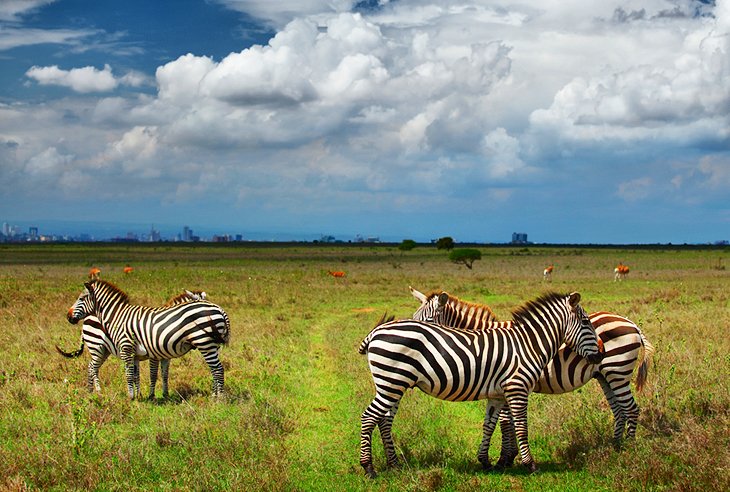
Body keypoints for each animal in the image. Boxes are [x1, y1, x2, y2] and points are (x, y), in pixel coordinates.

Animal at [67, 280, 230, 400]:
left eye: (81, 298)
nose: (68, 316)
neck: (117, 316)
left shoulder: (129, 348)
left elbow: (134, 374)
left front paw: (134, 397)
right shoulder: (151, 353)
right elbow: (148, 374)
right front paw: (146, 396)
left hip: (205, 343)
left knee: (217, 369)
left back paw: (219, 398)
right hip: (99, 348)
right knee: (92, 367)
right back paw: (92, 392)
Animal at [358, 292, 604, 476]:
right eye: (586, 322)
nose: (600, 355)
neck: (528, 344)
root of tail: (376, 331)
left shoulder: (498, 394)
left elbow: (490, 425)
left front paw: (486, 461)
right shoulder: (517, 389)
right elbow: (520, 427)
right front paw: (529, 464)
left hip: (393, 384)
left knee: (383, 420)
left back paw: (394, 464)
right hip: (392, 383)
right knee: (370, 417)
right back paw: (369, 468)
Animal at [410, 286, 656, 464]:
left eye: (428, 321)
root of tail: (631, 323)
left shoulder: (508, 384)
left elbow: (506, 422)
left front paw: (505, 459)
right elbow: (506, 422)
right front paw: (508, 457)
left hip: (617, 371)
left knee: (631, 409)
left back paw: (629, 449)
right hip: (605, 376)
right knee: (619, 410)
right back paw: (616, 446)